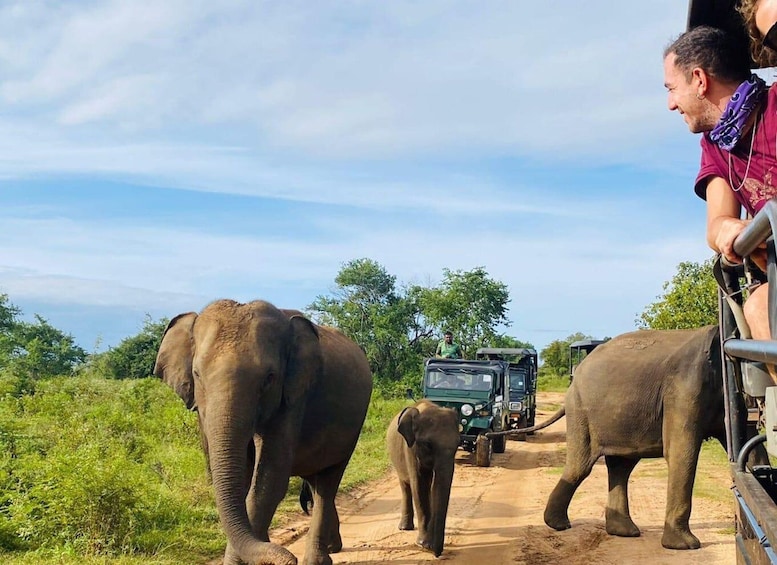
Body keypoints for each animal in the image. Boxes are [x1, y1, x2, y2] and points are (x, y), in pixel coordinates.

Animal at [153, 302, 372, 564]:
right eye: (197, 374)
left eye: (269, 378)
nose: (290, 558)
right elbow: (244, 480)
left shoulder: (293, 397)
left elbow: (268, 481)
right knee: (314, 481)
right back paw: (332, 546)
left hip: (352, 429)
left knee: (327, 484)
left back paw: (318, 558)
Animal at [540, 324, 728, 548]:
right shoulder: (685, 388)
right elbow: (680, 453)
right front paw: (685, 546)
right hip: (580, 411)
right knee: (581, 467)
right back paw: (559, 525)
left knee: (621, 466)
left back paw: (623, 531)